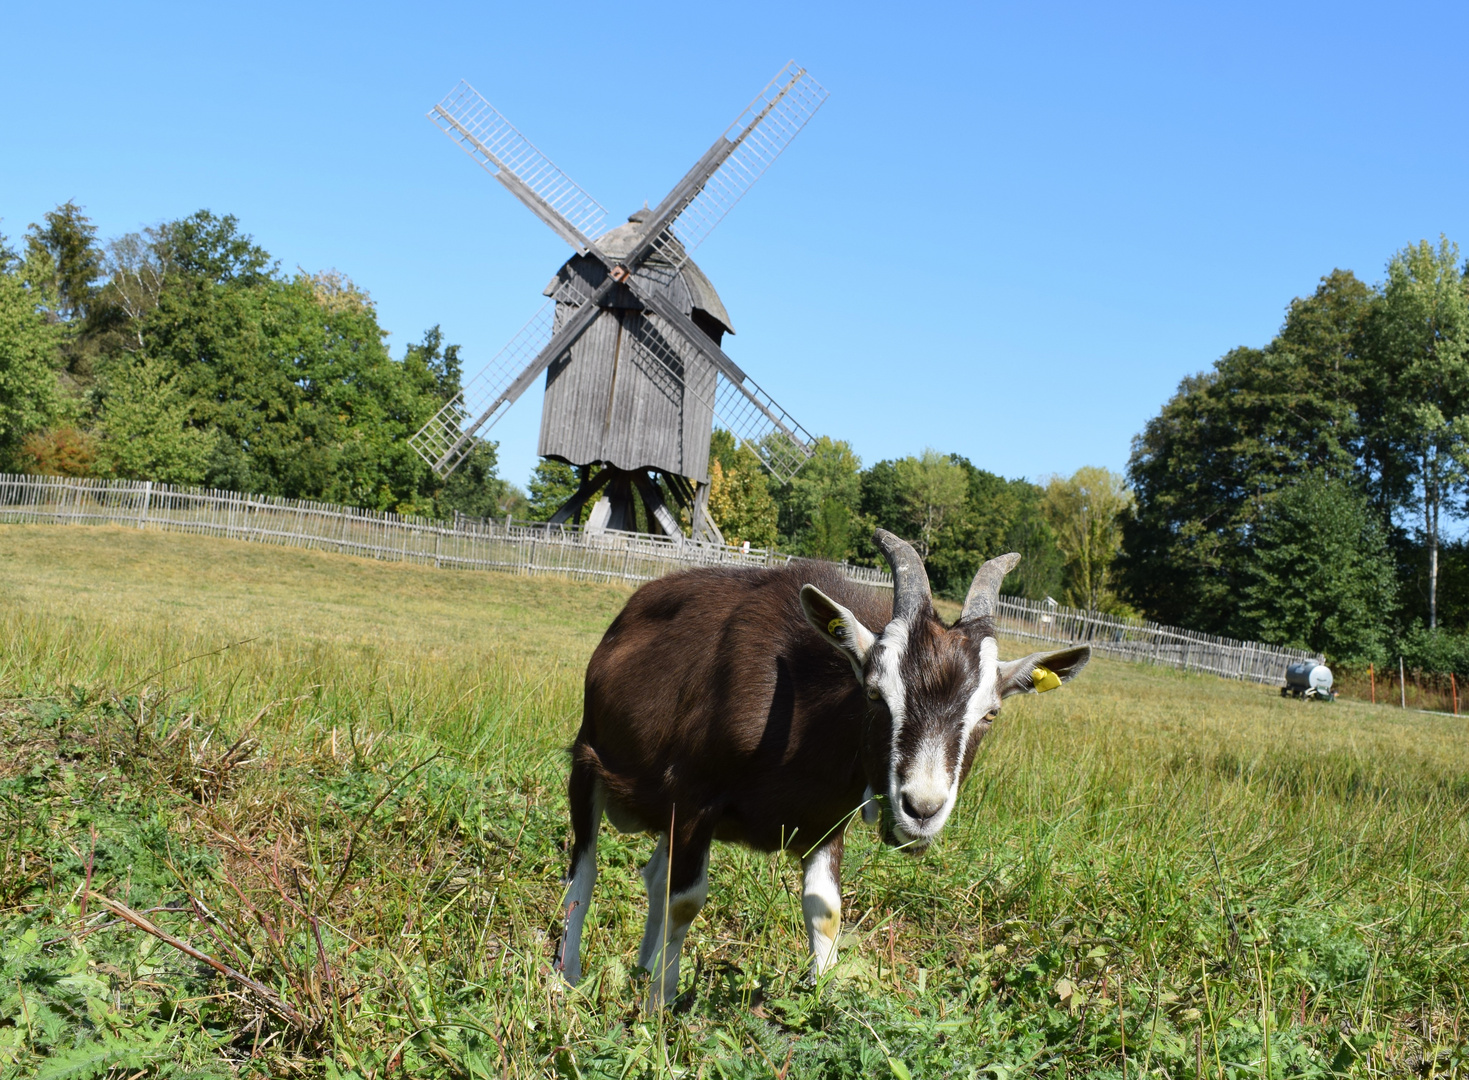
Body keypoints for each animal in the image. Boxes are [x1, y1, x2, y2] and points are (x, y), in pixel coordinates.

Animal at [555, 531, 1087, 1005]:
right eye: (874, 694)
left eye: (990, 714)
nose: (921, 809)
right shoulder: (693, 797)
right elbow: (685, 901)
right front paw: (659, 1010)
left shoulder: (827, 822)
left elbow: (825, 910)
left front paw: (823, 999)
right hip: (588, 761)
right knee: (586, 870)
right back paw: (567, 979)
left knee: (652, 876)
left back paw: (642, 968)